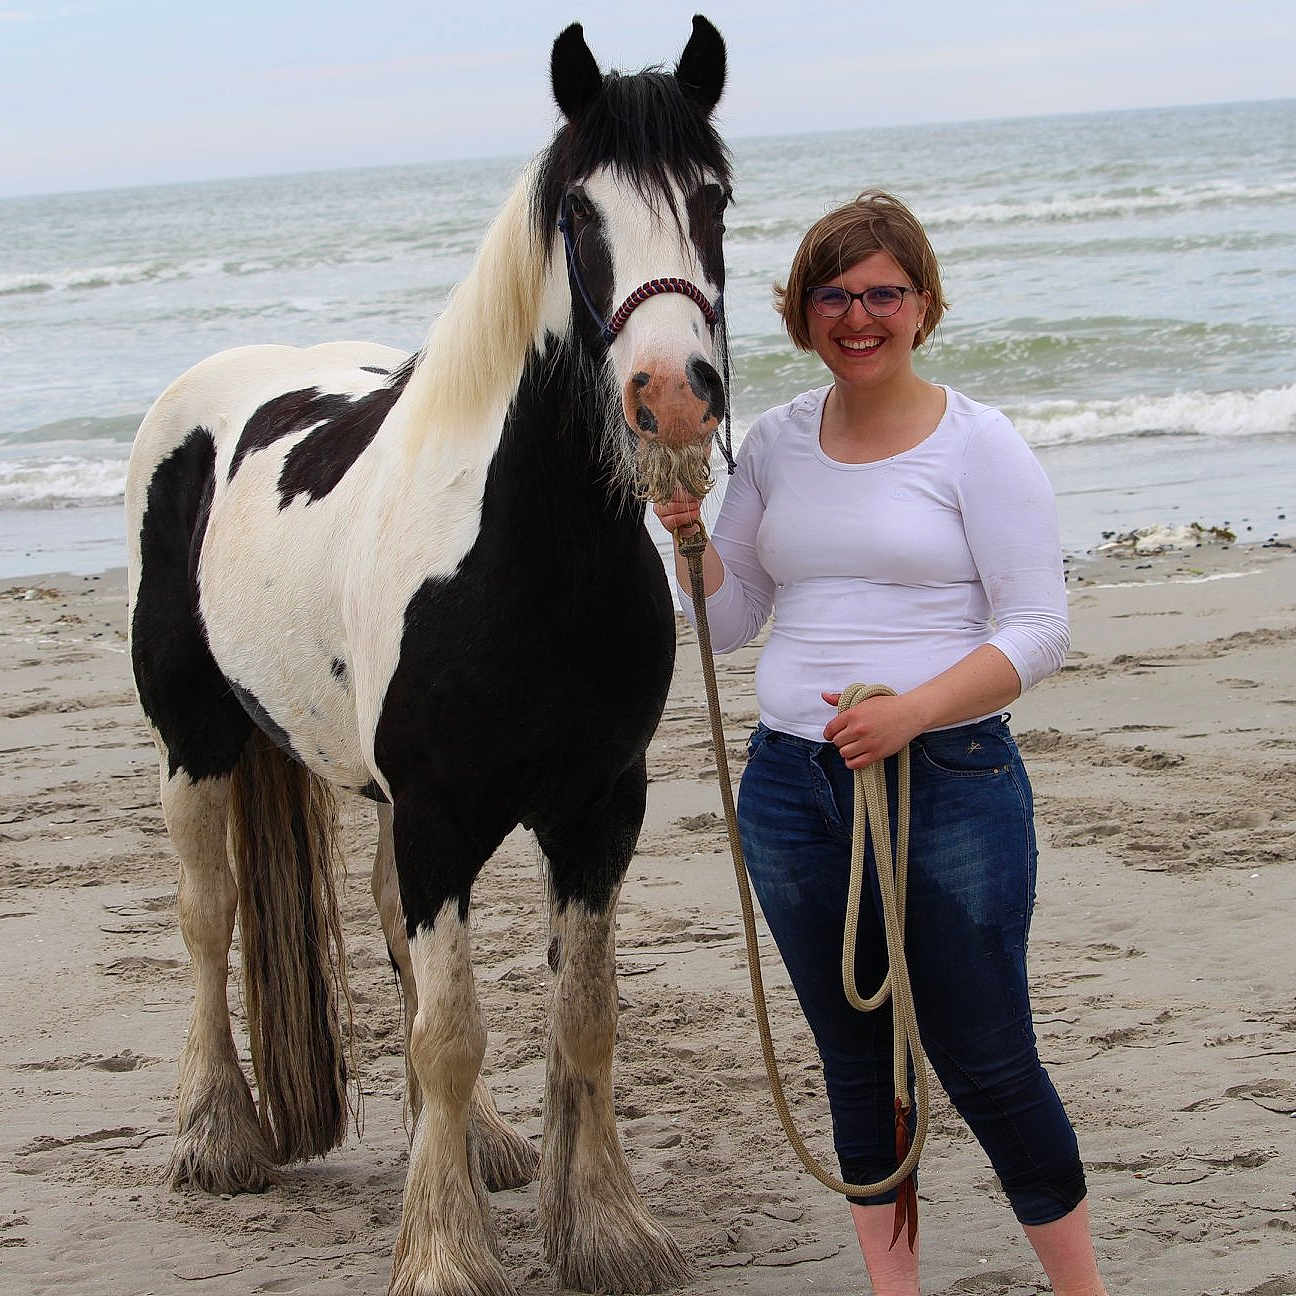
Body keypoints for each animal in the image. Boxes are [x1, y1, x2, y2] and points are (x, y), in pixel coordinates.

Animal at [124, 17, 730, 1296]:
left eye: (712, 197)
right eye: (580, 214)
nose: (669, 394)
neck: (524, 548)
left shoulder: (598, 807)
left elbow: (583, 1015)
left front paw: (602, 1227)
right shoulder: (444, 817)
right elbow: (451, 1030)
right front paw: (446, 1255)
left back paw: (484, 1145)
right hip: (194, 743)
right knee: (209, 916)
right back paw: (217, 1137)